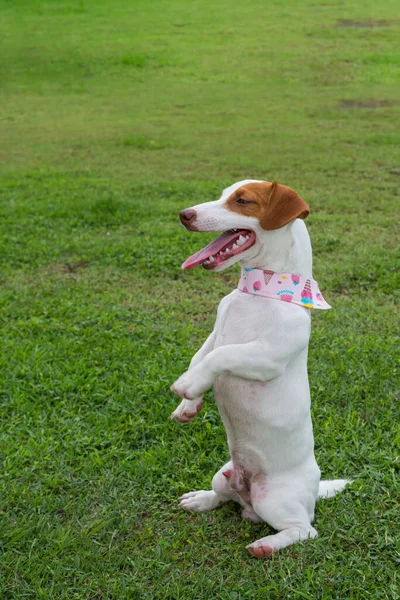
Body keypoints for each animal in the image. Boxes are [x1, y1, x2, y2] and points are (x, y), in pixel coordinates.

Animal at [170, 179, 350, 556]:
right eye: (223, 195)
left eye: (242, 201)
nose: (183, 214)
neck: (259, 293)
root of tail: (315, 490)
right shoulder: (215, 335)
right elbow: (200, 356)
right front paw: (187, 406)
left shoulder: (266, 357)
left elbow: (220, 357)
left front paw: (188, 386)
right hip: (222, 474)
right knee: (223, 496)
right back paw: (200, 499)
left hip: (275, 500)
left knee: (305, 530)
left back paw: (266, 544)